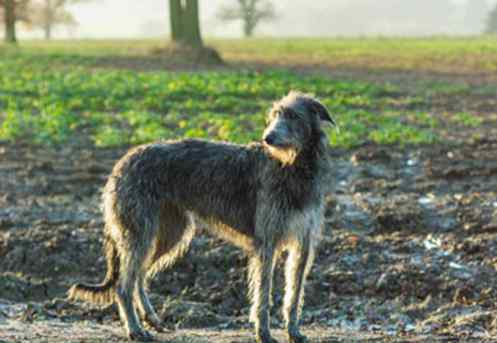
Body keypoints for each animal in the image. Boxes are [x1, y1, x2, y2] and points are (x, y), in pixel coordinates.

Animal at [68, 91, 336, 343]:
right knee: (124, 285)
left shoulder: (303, 243)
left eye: (293, 115)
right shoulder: (266, 243)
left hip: (170, 232)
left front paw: (294, 332)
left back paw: (152, 320)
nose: (267, 138)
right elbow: (263, 293)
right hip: (140, 231)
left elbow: (295, 294)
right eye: (274, 115)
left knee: (139, 276)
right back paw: (135, 329)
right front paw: (264, 333)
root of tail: (122, 161)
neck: (293, 167)